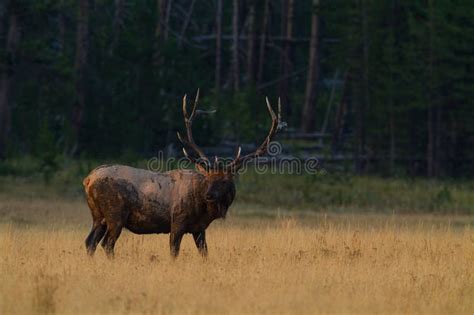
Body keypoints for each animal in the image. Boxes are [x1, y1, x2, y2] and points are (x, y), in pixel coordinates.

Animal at [82, 90, 282, 258]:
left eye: (225, 181)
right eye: (208, 179)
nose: (209, 195)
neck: (203, 210)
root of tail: (88, 180)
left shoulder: (199, 229)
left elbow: (205, 253)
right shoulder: (178, 221)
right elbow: (174, 251)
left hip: (98, 215)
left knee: (90, 242)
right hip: (115, 214)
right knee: (107, 243)